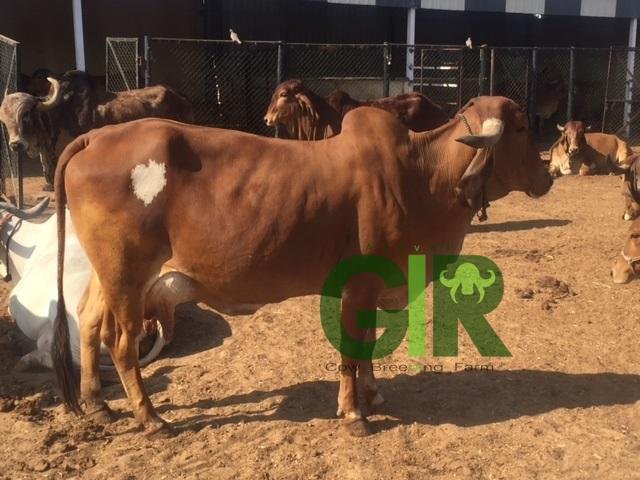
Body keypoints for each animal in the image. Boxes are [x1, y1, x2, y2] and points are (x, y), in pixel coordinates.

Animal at [52, 96, 552, 437]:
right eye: (521, 126)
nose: (549, 175)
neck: (421, 174)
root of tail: (97, 136)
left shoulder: (372, 290)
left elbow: (367, 347)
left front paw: (373, 395)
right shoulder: (358, 286)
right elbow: (351, 349)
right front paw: (353, 413)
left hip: (108, 273)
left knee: (89, 321)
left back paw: (98, 404)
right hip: (127, 272)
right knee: (121, 344)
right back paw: (151, 417)